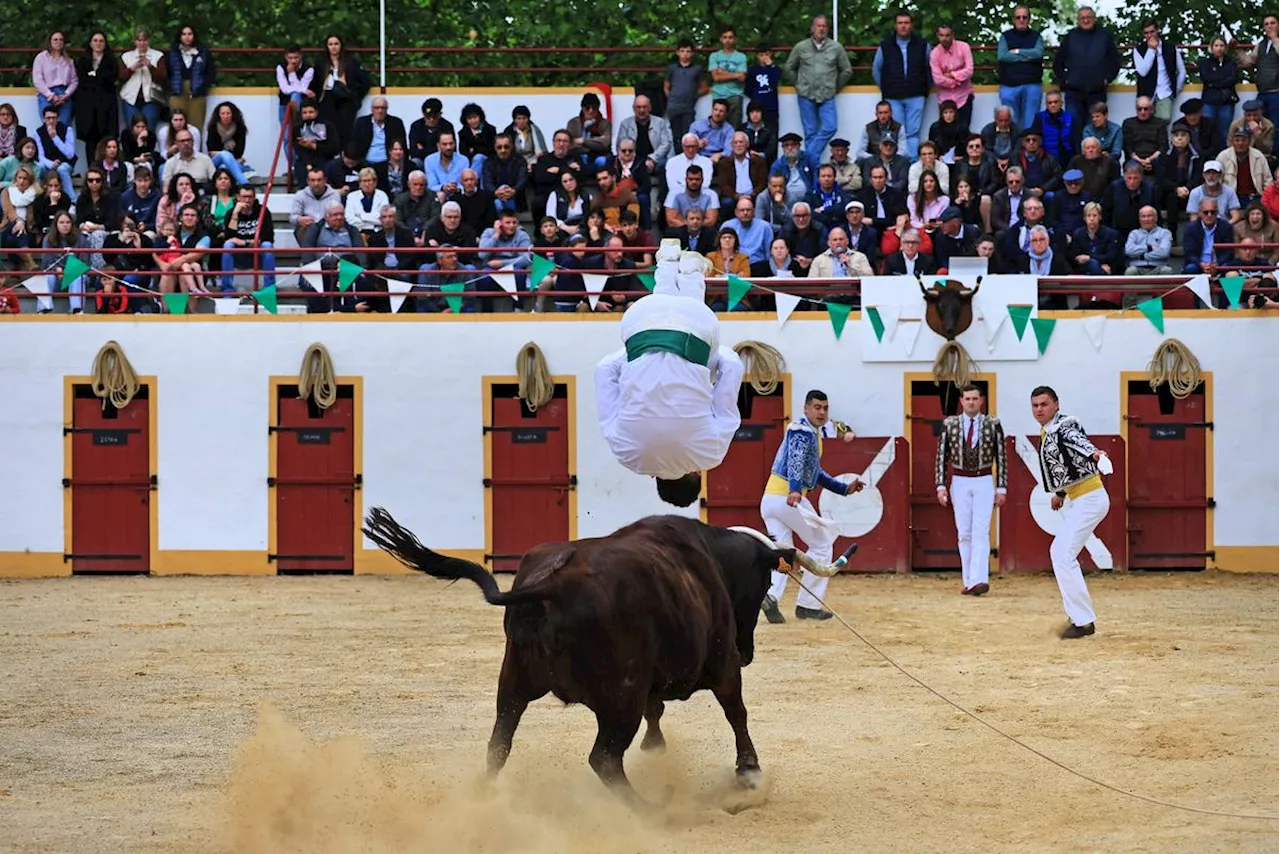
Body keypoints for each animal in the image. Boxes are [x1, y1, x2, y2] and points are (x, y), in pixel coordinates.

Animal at [363, 507, 798, 809]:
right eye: (763, 584)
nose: (748, 651)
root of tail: (551, 585)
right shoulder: (722, 663)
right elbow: (736, 711)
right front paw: (749, 772)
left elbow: (659, 709)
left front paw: (655, 745)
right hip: (620, 697)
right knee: (604, 758)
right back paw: (651, 807)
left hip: (514, 681)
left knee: (499, 744)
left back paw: (482, 798)